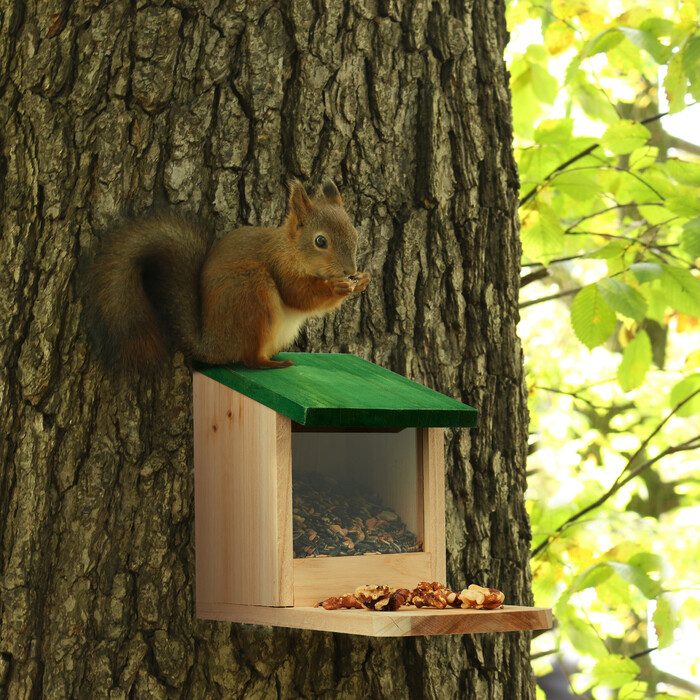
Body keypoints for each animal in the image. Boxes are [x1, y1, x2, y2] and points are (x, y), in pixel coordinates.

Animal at [87, 178, 372, 370]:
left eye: (355, 234)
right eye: (320, 241)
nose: (350, 270)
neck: (290, 249)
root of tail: (212, 345)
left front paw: (362, 281)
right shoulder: (279, 266)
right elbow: (299, 295)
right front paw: (338, 288)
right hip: (250, 293)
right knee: (249, 359)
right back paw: (271, 364)